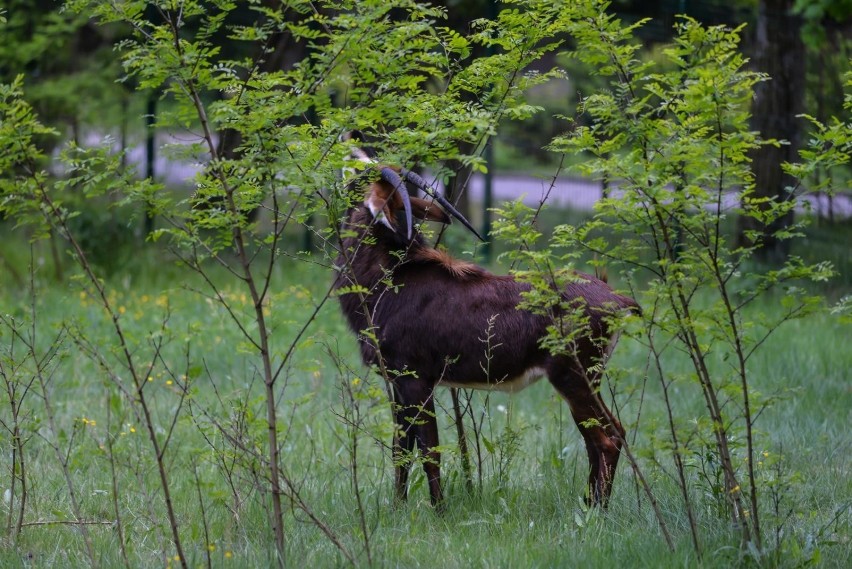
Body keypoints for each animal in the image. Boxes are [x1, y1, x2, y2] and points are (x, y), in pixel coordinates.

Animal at [334, 152, 640, 506]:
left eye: (360, 181)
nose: (351, 156)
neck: (392, 277)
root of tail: (617, 298)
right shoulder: (398, 384)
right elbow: (401, 452)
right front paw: (398, 509)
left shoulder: (417, 381)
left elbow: (429, 451)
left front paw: (439, 511)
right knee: (600, 438)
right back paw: (589, 505)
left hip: (573, 376)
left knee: (607, 438)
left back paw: (596, 511)